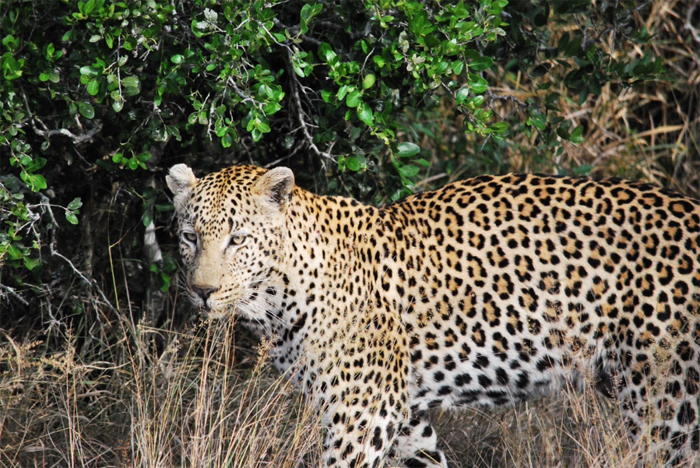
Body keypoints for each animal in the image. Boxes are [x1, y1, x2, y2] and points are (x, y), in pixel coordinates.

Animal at [167, 163, 700, 467]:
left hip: (667, 404)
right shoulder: (402, 418)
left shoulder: (361, 414)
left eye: (237, 239)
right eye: (190, 237)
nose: (202, 292)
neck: (279, 294)